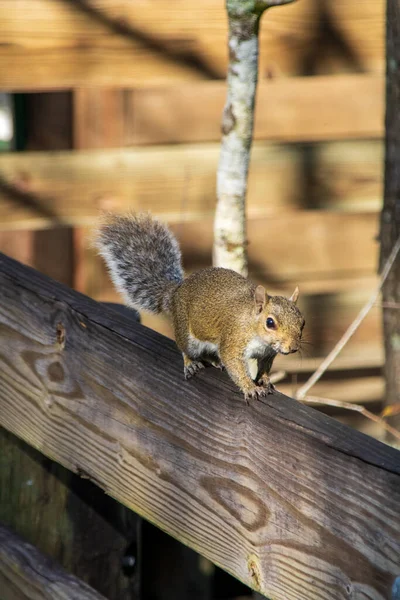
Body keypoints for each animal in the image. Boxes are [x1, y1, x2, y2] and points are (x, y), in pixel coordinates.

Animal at [95, 212, 304, 404]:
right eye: (270, 323)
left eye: (302, 323)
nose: (293, 347)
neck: (256, 331)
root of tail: (176, 292)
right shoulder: (234, 341)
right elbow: (234, 365)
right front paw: (250, 387)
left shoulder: (268, 354)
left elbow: (265, 367)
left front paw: (265, 380)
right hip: (186, 334)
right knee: (186, 350)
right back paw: (191, 363)